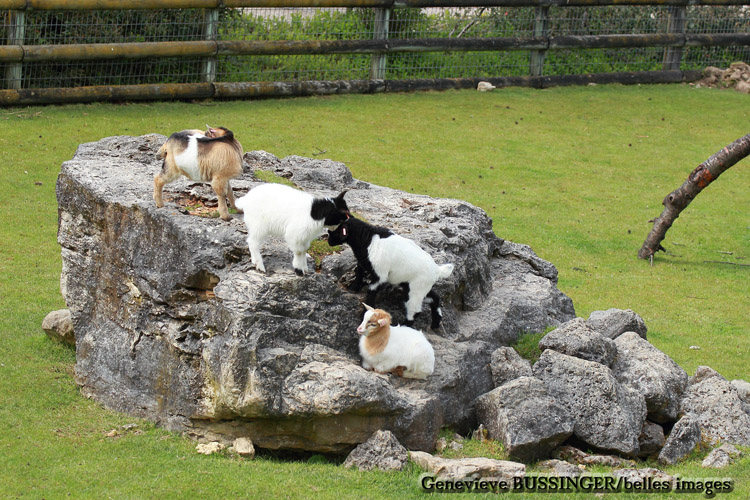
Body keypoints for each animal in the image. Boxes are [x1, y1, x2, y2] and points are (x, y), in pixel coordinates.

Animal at [328, 217, 456, 330]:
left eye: (338, 230)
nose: (329, 240)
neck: (368, 239)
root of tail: (437, 270)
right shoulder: (363, 263)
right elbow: (358, 272)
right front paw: (353, 288)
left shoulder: (380, 274)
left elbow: (371, 292)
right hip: (418, 286)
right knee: (435, 298)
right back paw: (435, 324)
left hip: (416, 289)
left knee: (415, 310)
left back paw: (402, 326)